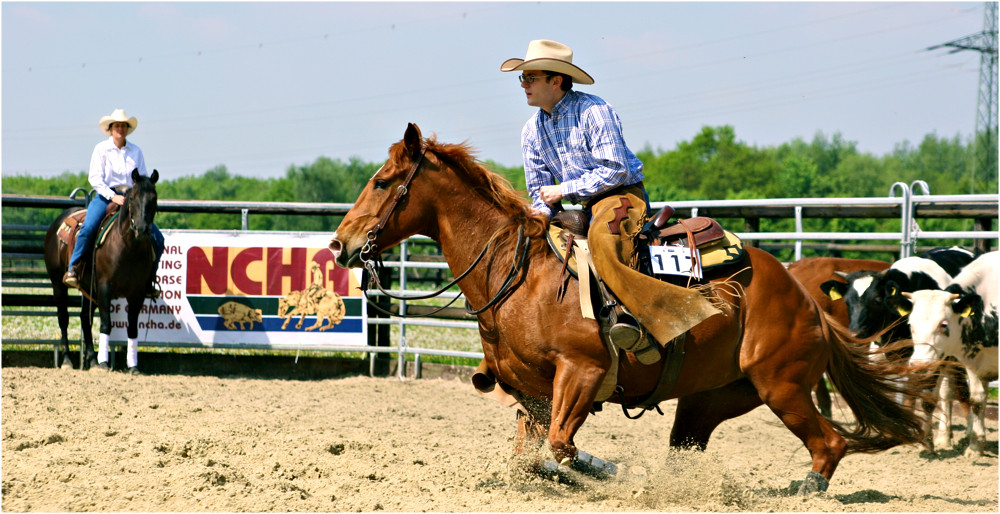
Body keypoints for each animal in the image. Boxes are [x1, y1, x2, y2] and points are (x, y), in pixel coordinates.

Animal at [44, 170, 160, 370]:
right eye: (132, 198)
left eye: (154, 198)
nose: (142, 230)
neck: (128, 248)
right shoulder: (105, 287)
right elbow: (106, 324)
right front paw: (105, 363)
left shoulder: (137, 292)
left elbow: (132, 328)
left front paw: (133, 366)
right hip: (58, 284)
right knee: (63, 318)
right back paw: (67, 360)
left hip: (89, 289)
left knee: (85, 319)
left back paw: (91, 359)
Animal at [330, 124, 936, 492]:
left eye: (383, 181)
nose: (340, 244)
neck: (519, 275)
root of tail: (802, 295)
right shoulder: (531, 393)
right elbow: (533, 456)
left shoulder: (582, 373)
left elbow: (560, 449)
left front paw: (612, 472)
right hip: (710, 400)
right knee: (690, 449)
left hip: (781, 386)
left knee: (829, 444)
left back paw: (805, 486)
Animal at [904, 250, 996, 454]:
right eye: (910, 325)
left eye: (943, 324)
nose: (919, 364)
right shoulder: (972, 360)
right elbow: (976, 399)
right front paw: (975, 447)